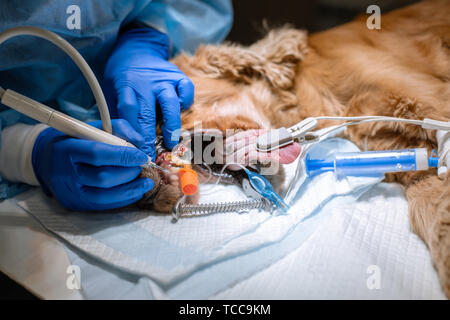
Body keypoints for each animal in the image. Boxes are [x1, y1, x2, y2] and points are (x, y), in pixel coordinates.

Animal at [141, 0, 450, 298]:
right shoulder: (415, 162)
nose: (159, 150)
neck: (303, 91)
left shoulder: (431, 105)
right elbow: (432, 211)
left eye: (176, 109)